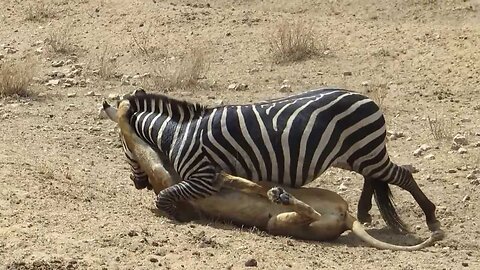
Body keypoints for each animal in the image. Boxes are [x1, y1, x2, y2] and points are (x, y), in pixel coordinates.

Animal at [114, 88, 440, 232]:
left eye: (123, 148)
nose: (137, 183)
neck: (177, 134)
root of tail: (366, 98)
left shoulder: (204, 177)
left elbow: (166, 196)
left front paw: (180, 214)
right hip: (359, 154)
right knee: (374, 178)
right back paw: (364, 213)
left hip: (366, 152)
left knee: (402, 176)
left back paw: (431, 217)